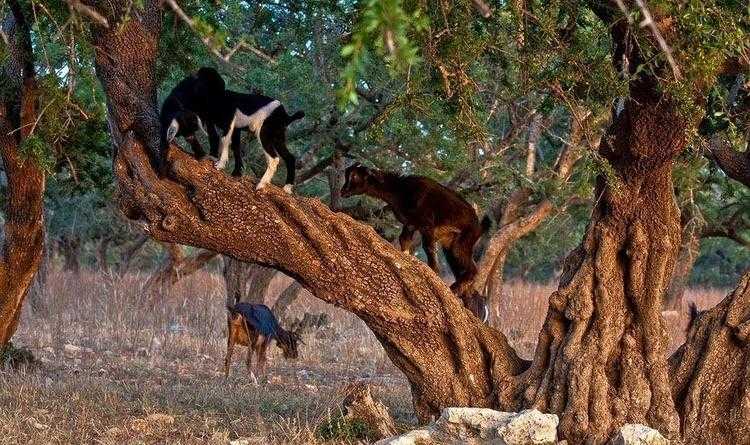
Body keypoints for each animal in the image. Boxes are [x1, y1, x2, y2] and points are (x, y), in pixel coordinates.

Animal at [342, 163, 494, 320]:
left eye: (355, 176)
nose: (343, 191)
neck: (400, 189)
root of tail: (479, 226)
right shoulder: (410, 224)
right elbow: (404, 240)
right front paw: (406, 260)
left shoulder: (427, 225)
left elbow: (428, 248)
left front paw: (434, 272)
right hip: (450, 245)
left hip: (462, 243)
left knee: (473, 269)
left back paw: (455, 290)